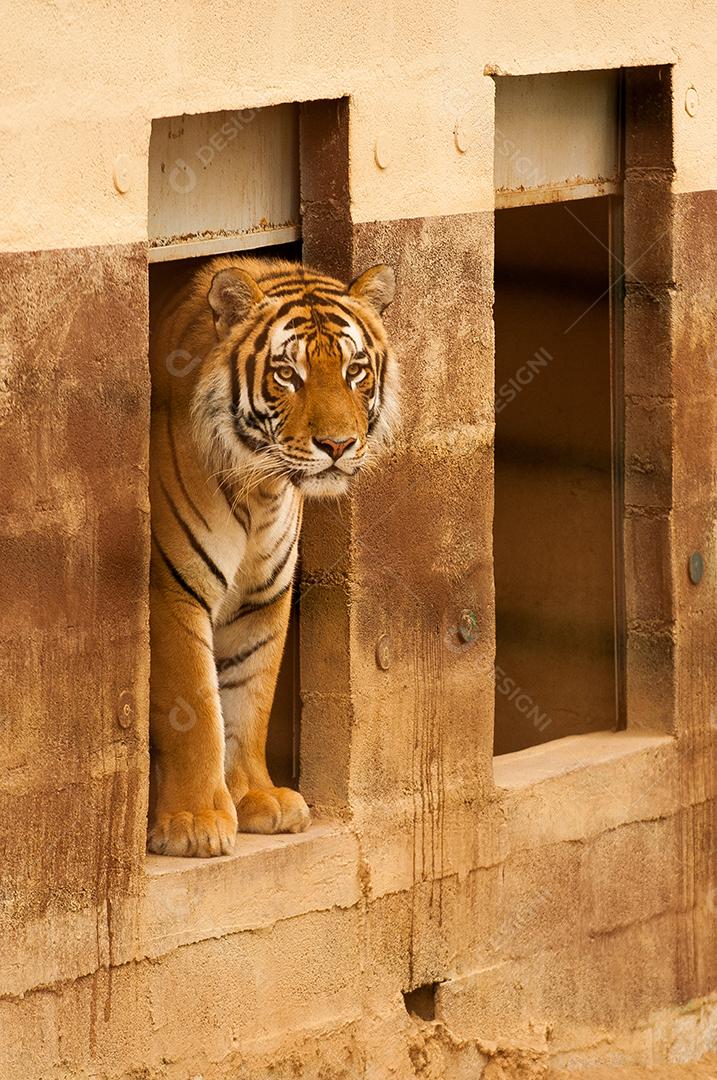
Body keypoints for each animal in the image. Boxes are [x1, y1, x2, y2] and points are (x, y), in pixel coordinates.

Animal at [147, 256, 398, 857]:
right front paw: (194, 821)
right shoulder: (173, 588)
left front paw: (255, 798)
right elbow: (195, 707)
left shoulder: (265, 596)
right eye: (287, 374)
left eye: (355, 370)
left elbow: (249, 698)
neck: (260, 491)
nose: (338, 446)